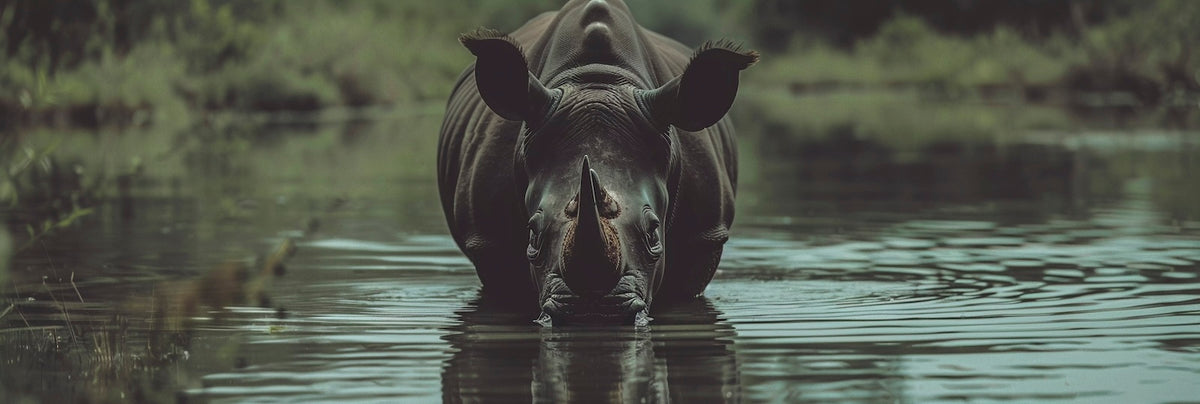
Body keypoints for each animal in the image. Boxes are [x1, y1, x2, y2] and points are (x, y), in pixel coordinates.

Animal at [437, 0, 756, 324]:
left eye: (654, 231)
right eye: (533, 233)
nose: (591, 312)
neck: (597, 78)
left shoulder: (704, 237)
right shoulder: (488, 242)